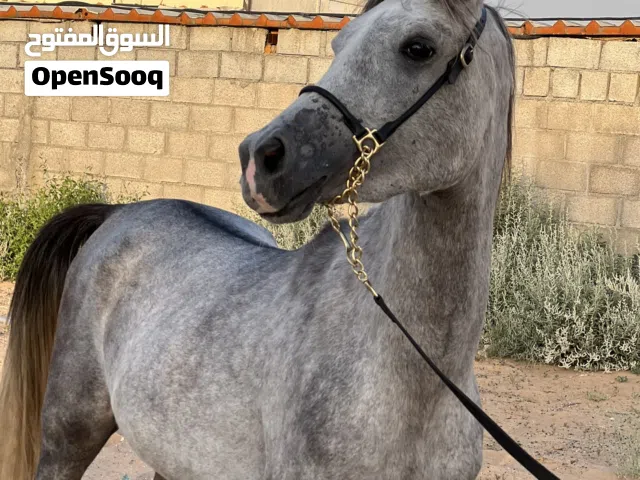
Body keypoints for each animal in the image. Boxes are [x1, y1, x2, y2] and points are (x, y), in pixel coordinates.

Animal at [0, 0, 514, 477]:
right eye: (339, 44)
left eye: (418, 48)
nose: (259, 156)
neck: (413, 385)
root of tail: (118, 213)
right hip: (68, 437)